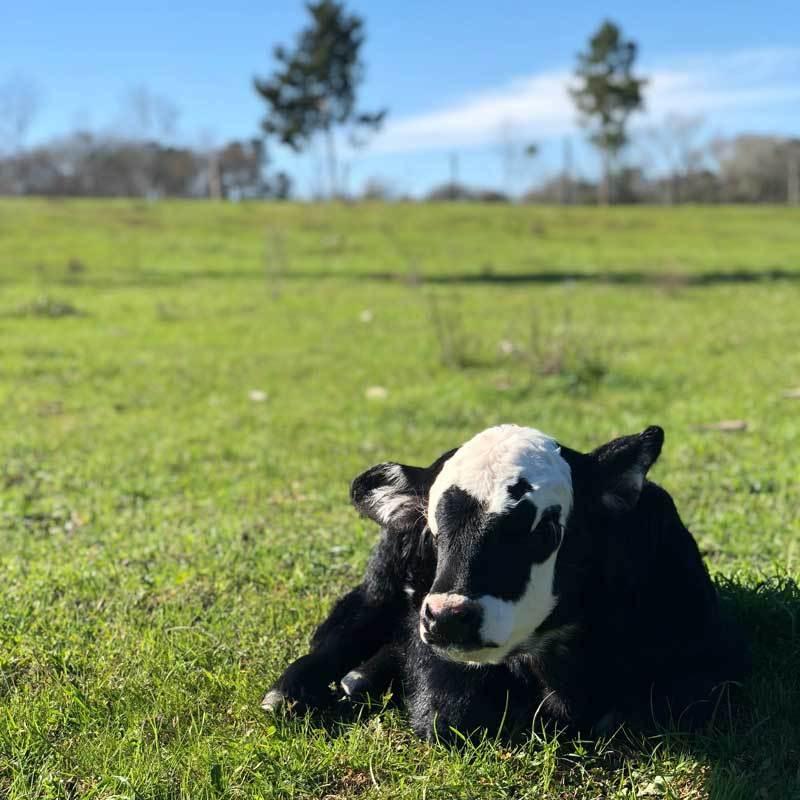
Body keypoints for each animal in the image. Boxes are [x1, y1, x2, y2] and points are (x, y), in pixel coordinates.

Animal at [262, 424, 750, 742]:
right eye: (433, 531)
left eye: (546, 529)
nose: (449, 618)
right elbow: (447, 713)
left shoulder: (707, 663)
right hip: (380, 587)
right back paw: (295, 693)